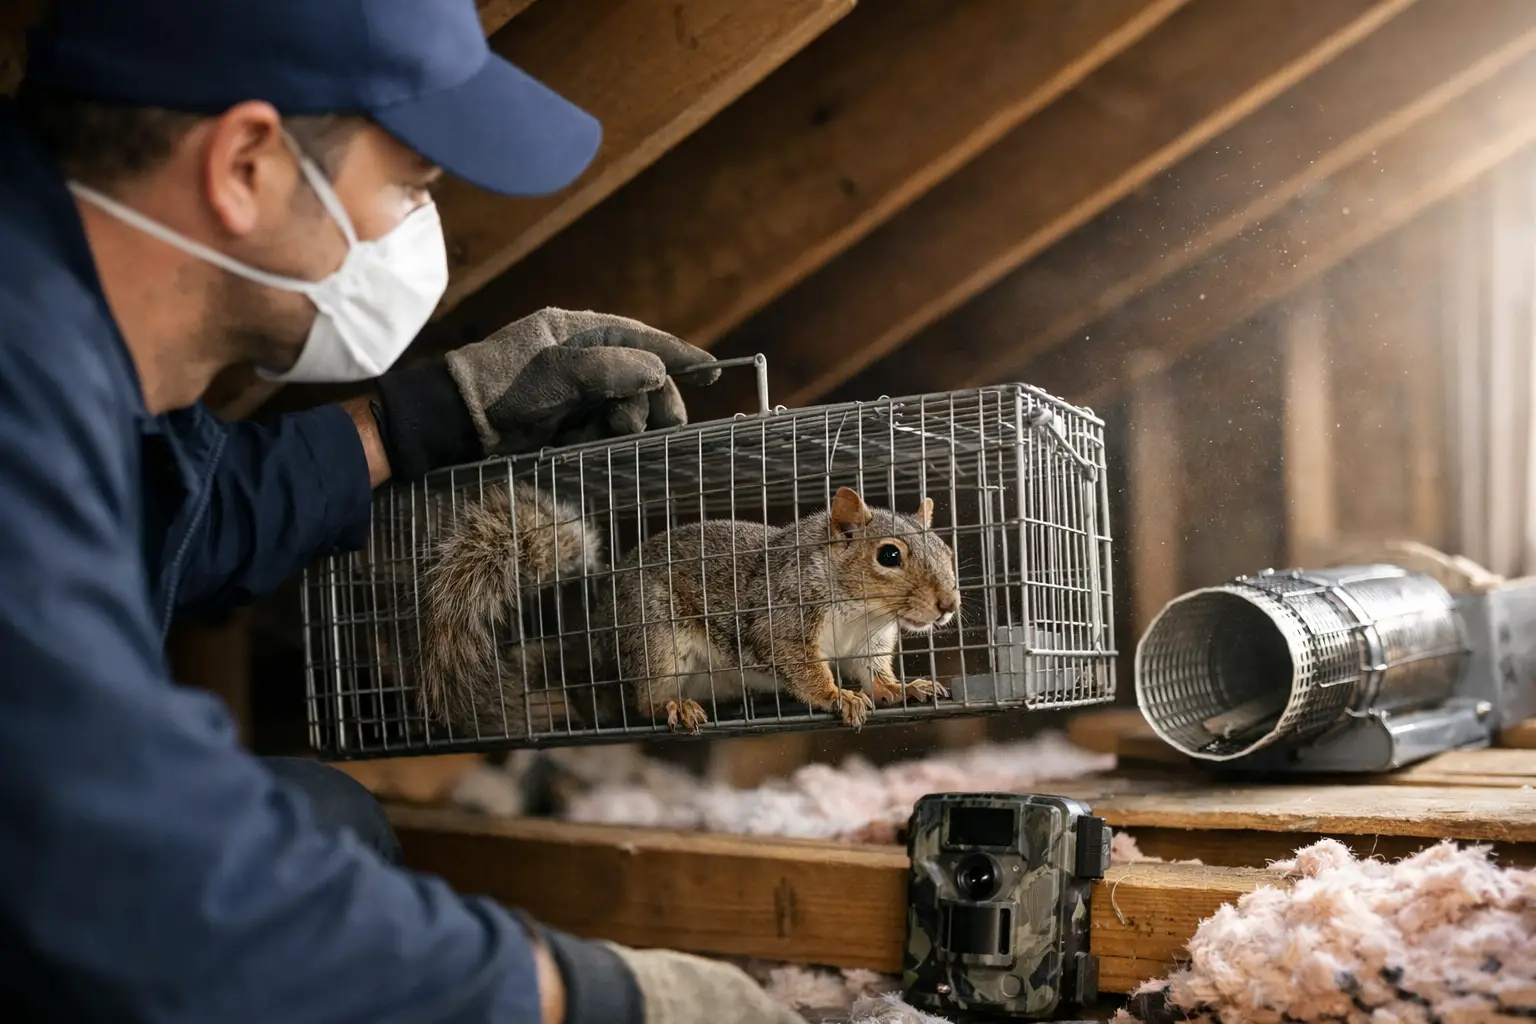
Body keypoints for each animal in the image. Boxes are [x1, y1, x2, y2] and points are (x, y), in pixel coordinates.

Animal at [416, 484, 962, 735]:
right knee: (643, 699)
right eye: (888, 556)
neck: (861, 611)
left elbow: (875, 675)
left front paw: (905, 688)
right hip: (655, 639)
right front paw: (839, 696)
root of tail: (598, 650)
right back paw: (671, 706)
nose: (948, 605)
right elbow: (803, 669)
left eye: (946, 549)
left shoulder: (869, 644)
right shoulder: (782, 616)